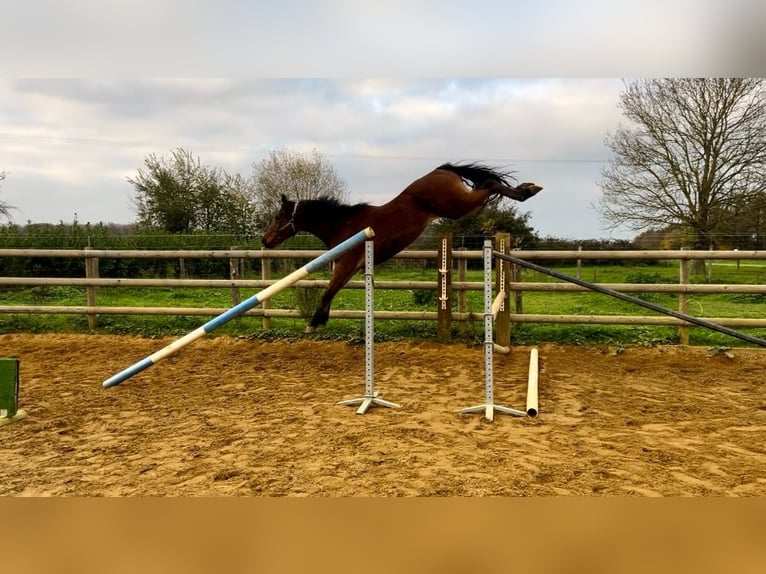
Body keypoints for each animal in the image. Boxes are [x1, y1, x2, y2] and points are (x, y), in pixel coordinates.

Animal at [260, 162, 544, 332]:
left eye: (278, 217)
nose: (265, 240)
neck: (342, 224)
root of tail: (440, 170)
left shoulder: (345, 265)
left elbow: (327, 293)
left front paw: (313, 323)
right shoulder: (350, 268)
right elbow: (331, 293)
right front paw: (321, 320)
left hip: (457, 206)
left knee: (489, 186)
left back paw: (527, 190)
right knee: (487, 186)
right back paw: (527, 189)